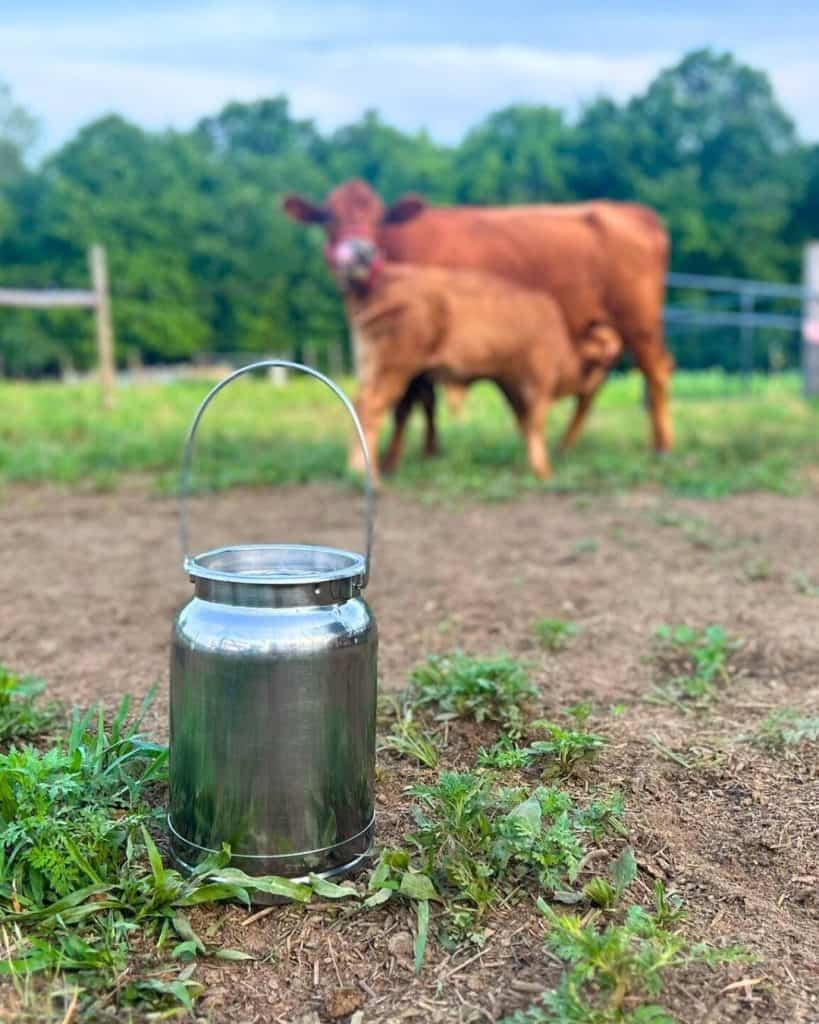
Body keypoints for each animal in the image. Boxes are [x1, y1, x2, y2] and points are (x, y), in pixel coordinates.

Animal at [319, 236, 621, 483]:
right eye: (604, 362)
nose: (599, 383)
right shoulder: (538, 378)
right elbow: (535, 422)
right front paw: (543, 470)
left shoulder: (508, 380)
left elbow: (523, 421)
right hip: (395, 368)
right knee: (370, 408)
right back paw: (366, 474)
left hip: (372, 366)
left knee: (361, 403)